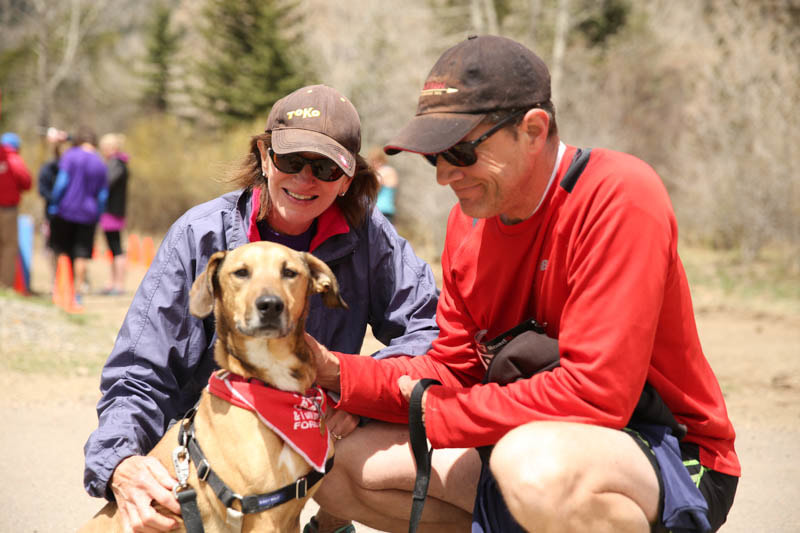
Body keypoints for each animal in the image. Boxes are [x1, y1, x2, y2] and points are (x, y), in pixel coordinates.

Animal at [79, 242, 350, 532]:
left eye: (289, 272)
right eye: (241, 272)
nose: (270, 305)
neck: (273, 385)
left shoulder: (289, 517)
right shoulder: (264, 517)